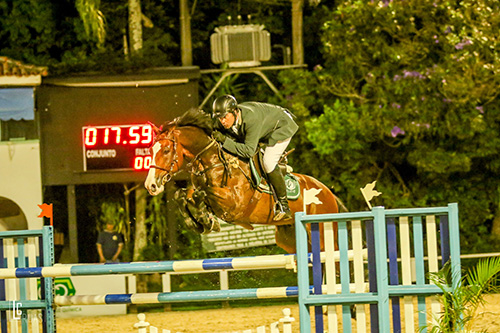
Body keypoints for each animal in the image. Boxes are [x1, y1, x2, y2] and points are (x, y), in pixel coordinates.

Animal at [142, 107, 344, 253]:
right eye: (150, 150)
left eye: (166, 150)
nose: (150, 186)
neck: (212, 160)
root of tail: (329, 194)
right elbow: (182, 194)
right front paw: (200, 221)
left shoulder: (234, 205)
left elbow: (203, 193)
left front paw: (204, 219)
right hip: (288, 239)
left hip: (323, 233)